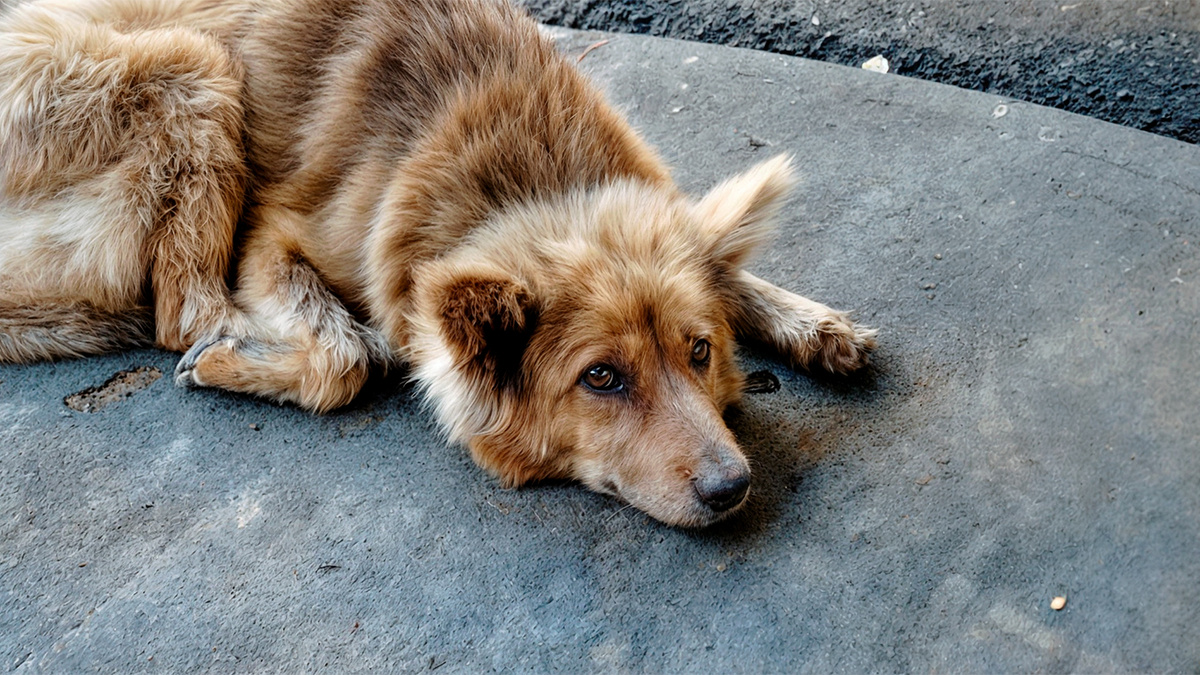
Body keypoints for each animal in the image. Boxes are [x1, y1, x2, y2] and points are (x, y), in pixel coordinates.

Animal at [2, 0, 883, 526]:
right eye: (600, 378)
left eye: (699, 351)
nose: (733, 488)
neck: (525, 175)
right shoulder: (271, 231)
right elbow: (347, 355)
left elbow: (723, 264)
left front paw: (812, 323)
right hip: (192, 66)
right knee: (184, 313)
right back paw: (228, 347)